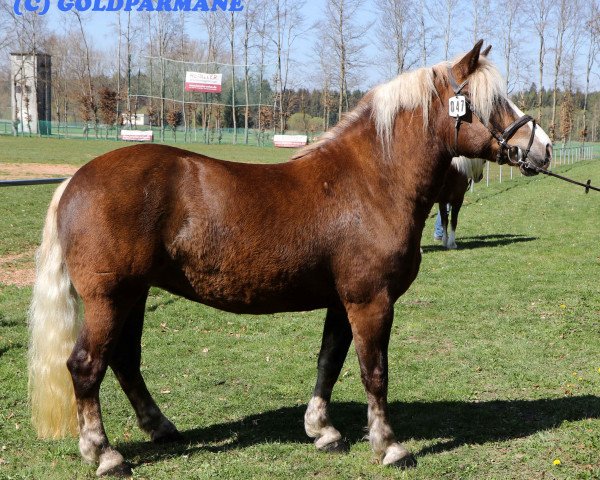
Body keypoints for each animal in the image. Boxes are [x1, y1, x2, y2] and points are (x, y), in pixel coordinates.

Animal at [28, 41, 552, 476]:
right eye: (492, 101)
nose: (542, 148)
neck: (371, 182)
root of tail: (74, 181)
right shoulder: (371, 301)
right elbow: (374, 371)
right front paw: (388, 446)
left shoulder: (343, 301)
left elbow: (329, 361)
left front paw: (323, 431)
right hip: (110, 297)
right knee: (86, 366)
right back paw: (104, 453)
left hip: (133, 295)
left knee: (124, 360)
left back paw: (159, 427)